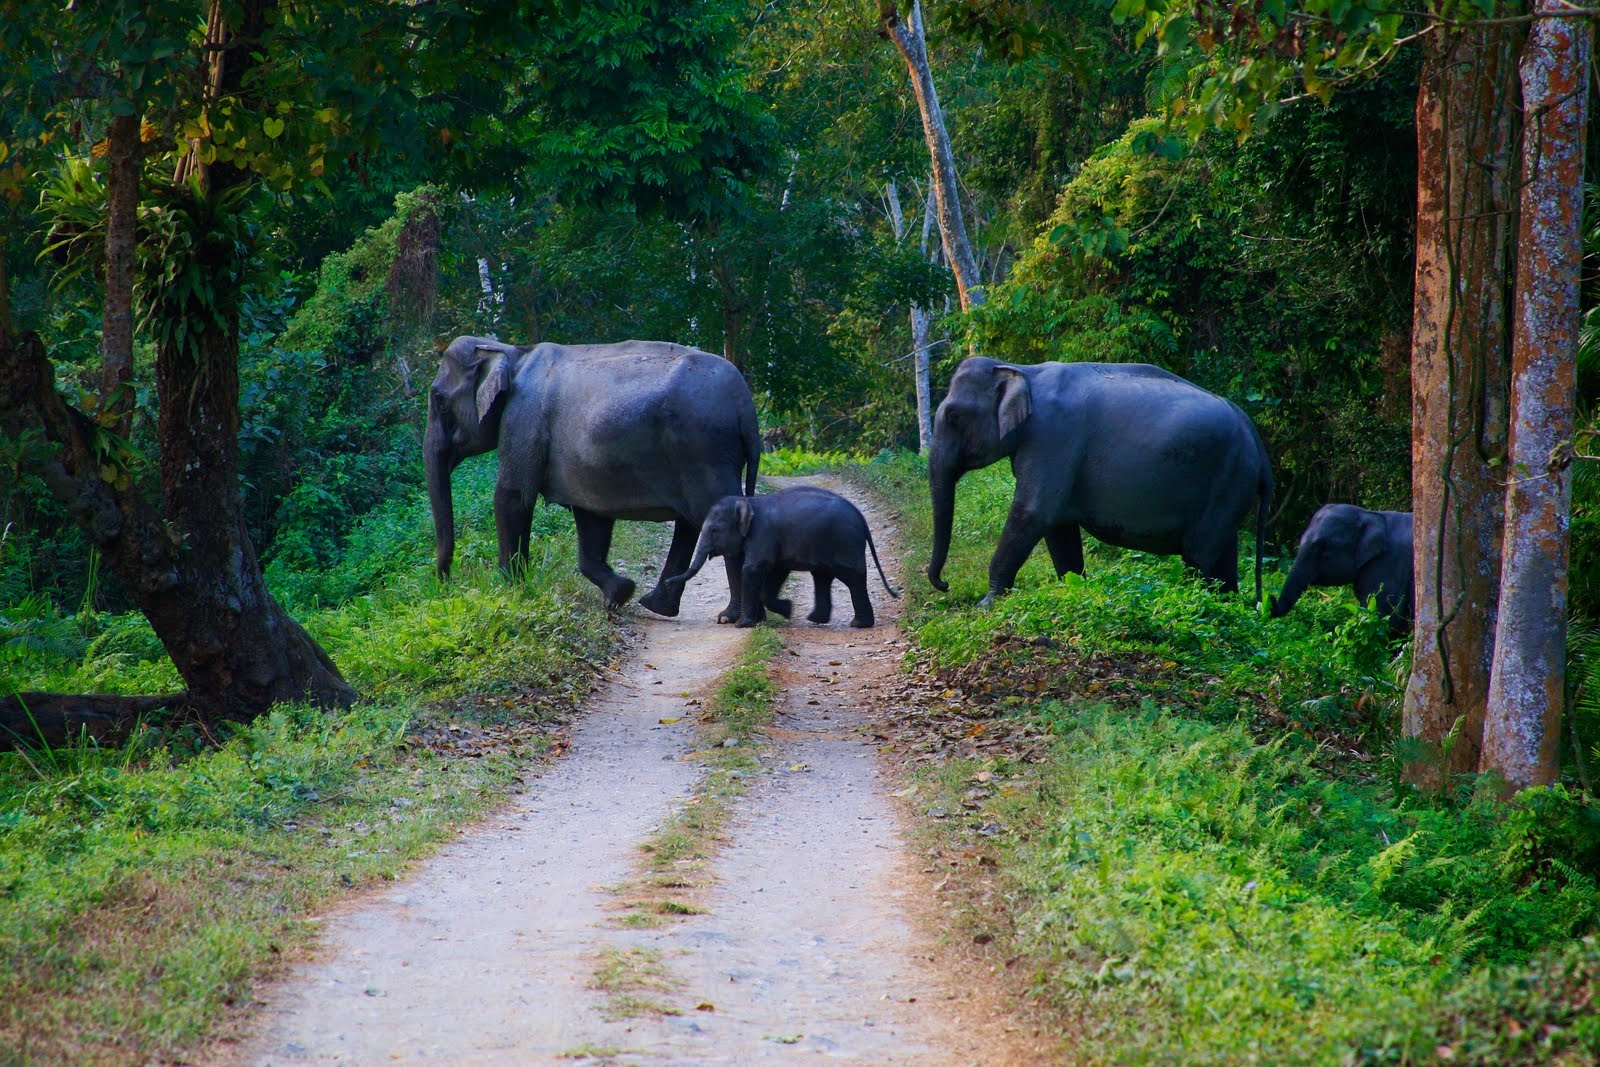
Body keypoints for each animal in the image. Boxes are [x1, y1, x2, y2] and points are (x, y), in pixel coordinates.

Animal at [425, 334, 761, 617]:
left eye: (439, 400)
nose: (446, 586)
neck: (511, 351)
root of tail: (745, 403)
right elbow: (591, 517)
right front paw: (619, 595)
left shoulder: (523, 420)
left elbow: (512, 496)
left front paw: (513, 593)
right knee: (692, 522)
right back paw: (657, 606)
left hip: (702, 450)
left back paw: (731, 616)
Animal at [656, 489, 896, 630]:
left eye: (714, 530)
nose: (667, 582)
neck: (748, 501)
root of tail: (861, 518)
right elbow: (777, 571)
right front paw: (787, 610)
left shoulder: (763, 534)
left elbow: (753, 569)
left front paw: (743, 625)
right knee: (823, 576)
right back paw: (816, 619)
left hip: (844, 543)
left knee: (852, 577)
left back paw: (859, 624)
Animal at [928, 358, 1273, 604]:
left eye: (954, 417)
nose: (945, 585)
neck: (1024, 371)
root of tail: (1257, 441)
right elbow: (1058, 528)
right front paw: (1073, 589)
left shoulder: (1054, 436)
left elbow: (1033, 513)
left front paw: (987, 604)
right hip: (1233, 488)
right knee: (1223, 555)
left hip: (1227, 480)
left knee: (1198, 554)